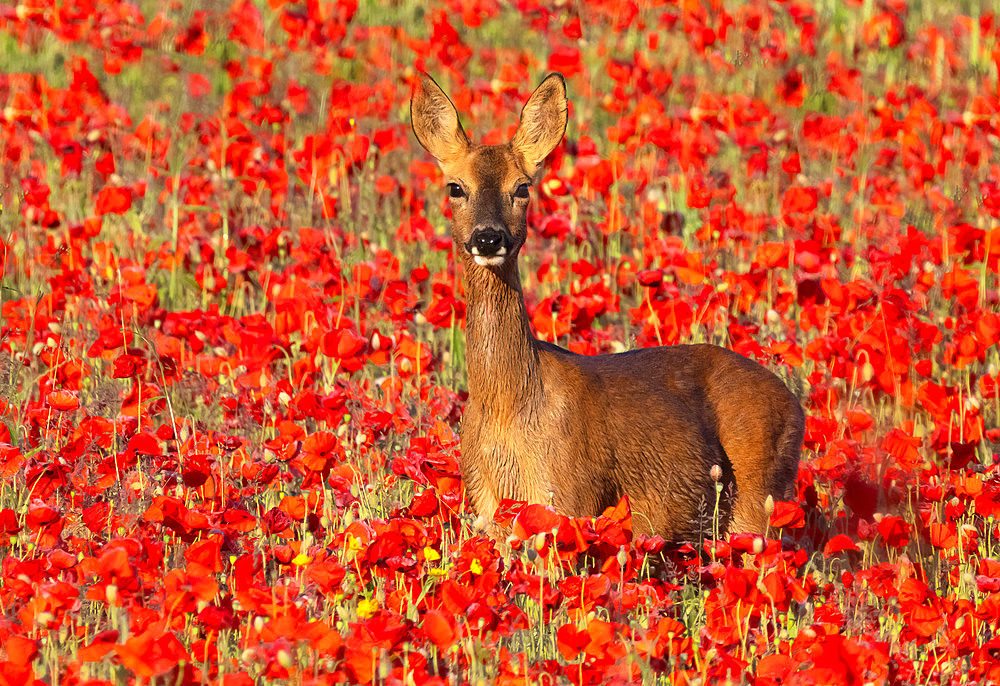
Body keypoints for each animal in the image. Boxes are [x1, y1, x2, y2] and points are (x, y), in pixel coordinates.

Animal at [410, 74, 808, 544]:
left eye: (523, 186)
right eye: (455, 187)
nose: (488, 238)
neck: (508, 409)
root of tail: (796, 404)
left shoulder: (572, 496)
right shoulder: (487, 507)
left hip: (759, 500)